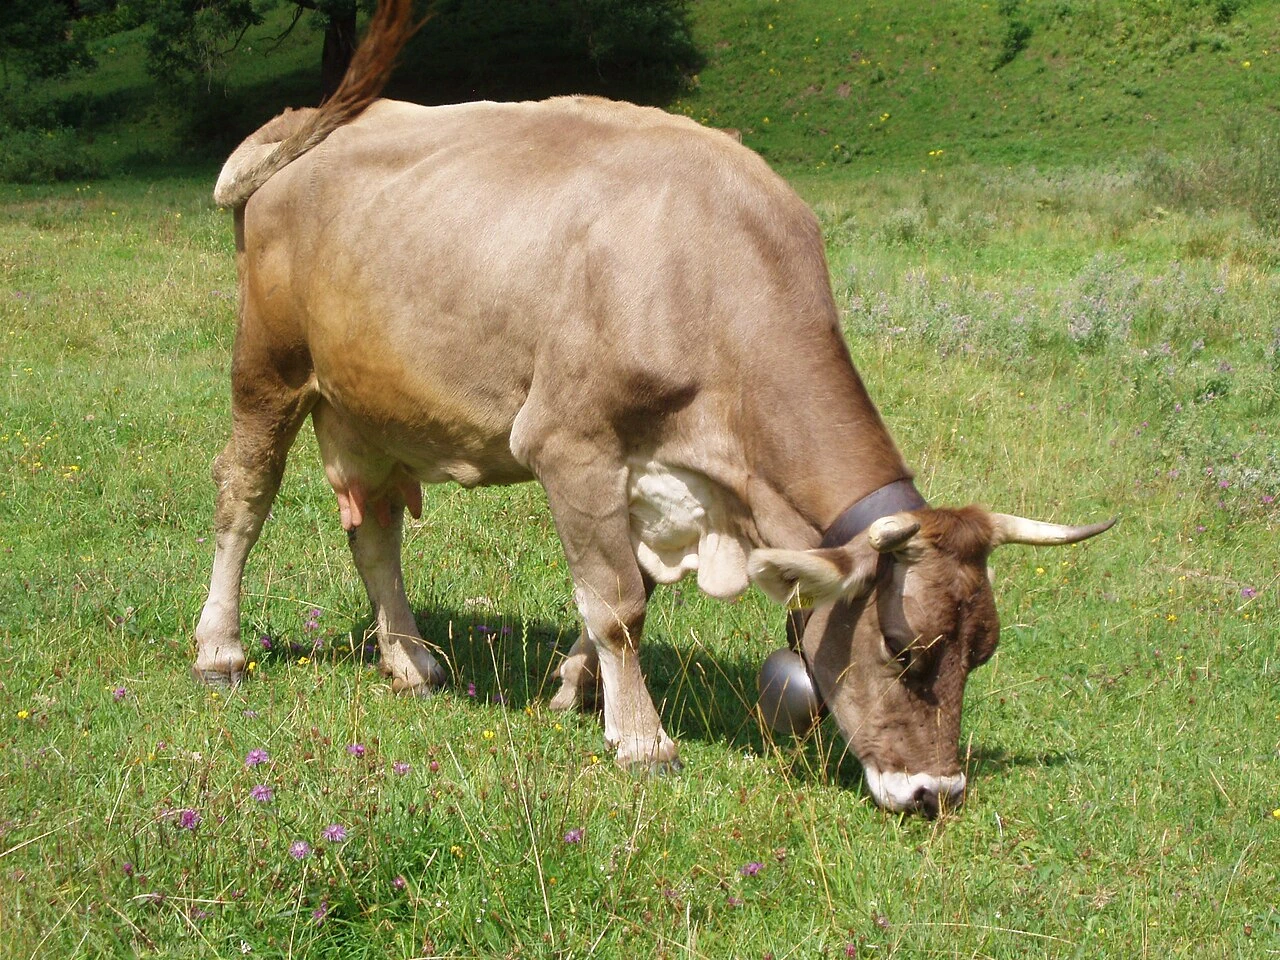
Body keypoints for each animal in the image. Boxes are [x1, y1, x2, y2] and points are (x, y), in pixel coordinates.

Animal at [194, 0, 1113, 815]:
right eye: (903, 649)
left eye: (982, 652)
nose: (935, 793)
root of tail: (301, 121)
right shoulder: (571, 445)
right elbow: (618, 603)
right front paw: (641, 738)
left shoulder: (660, 475)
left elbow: (630, 588)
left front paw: (576, 688)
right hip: (269, 370)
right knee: (244, 496)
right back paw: (220, 648)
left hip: (374, 403)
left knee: (376, 531)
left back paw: (412, 662)